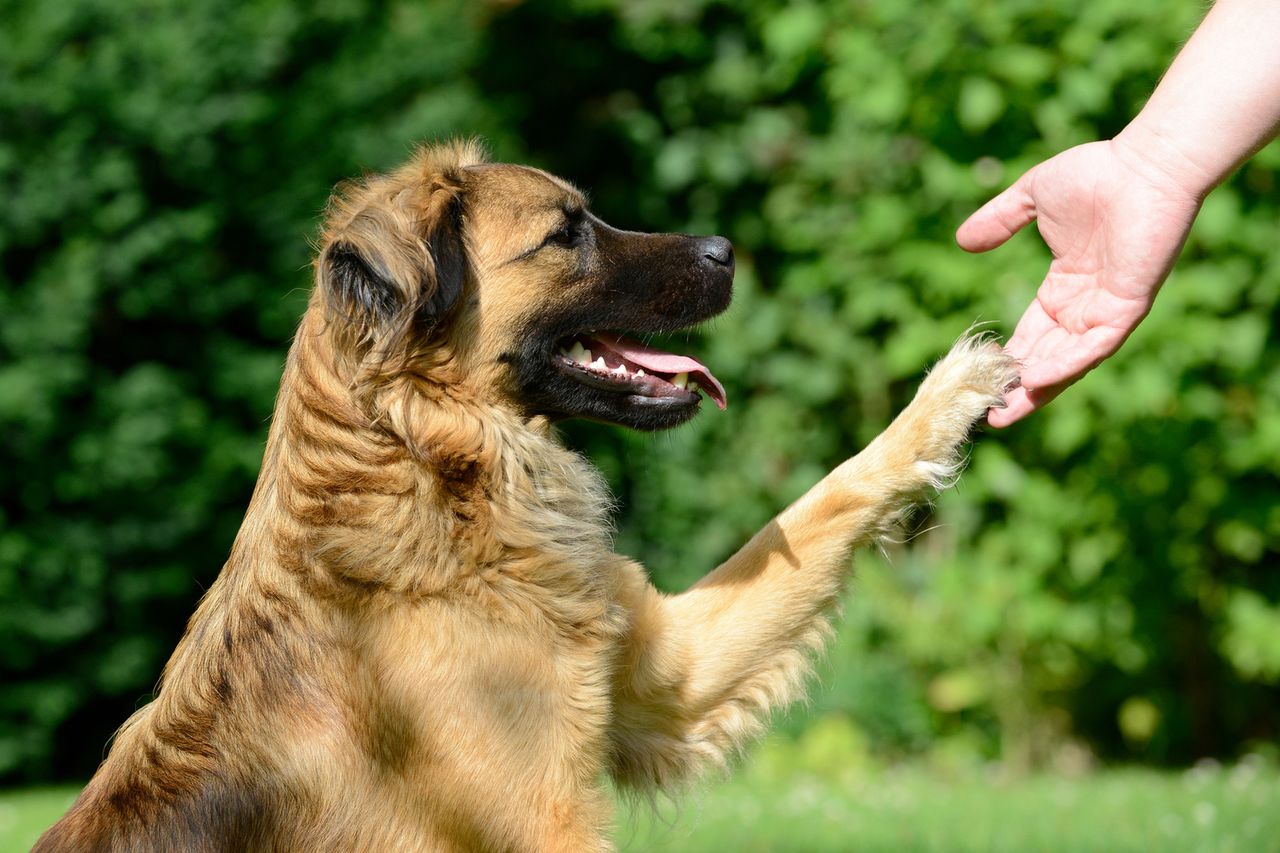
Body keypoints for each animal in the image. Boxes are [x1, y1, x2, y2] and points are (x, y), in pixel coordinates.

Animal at [40, 140, 1013, 850]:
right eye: (565, 233)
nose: (728, 250)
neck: (430, 473)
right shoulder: (544, 820)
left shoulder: (667, 677)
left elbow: (825, 498)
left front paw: (948, 395)